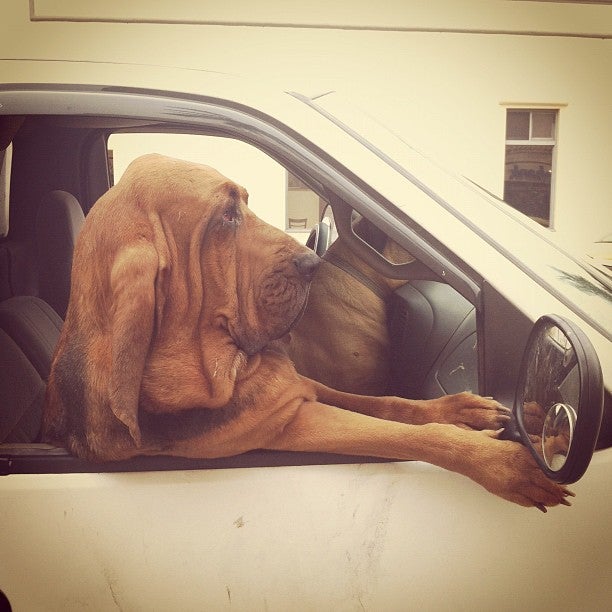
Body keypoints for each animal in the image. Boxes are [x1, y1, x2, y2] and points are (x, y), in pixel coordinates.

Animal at [42, 154, 573, 511]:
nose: (310, 262)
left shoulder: (300, 386)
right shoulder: (295, 421)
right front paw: (501, 464)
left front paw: (480, 410)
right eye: (226, 218)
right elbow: (403, 435)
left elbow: (393, 405)